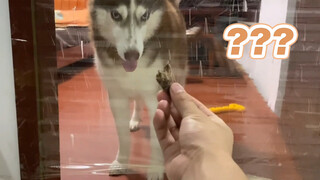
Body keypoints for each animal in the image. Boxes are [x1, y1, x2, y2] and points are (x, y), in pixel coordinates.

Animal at [89, 0, 188, 179]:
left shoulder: (155, 96)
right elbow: (123, 136)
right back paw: (135, 120)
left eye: (145, 15)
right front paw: (121, 163)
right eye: (115, 14)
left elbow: (157, 138)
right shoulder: (116, 97)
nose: (132, 55)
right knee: (137, 100)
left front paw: (155, 168)